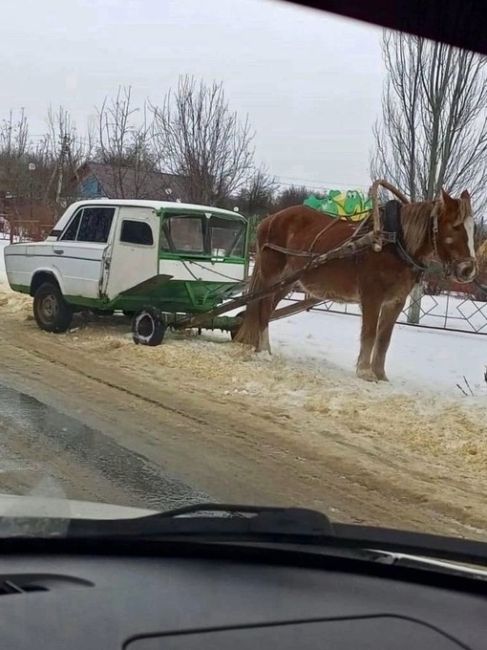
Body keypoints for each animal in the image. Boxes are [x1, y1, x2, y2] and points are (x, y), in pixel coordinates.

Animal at [235, 187, 476, 380]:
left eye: (472, 229)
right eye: (455, 227)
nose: (469, 270)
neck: (394, 241)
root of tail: (269, 220)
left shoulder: (395, 302)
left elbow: (384, 338)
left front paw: (380, 374)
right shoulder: (371, 297)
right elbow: (369, 333)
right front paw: (365, 371)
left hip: (286, 282)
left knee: (267, 308)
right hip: (272, 276)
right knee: (263, 309)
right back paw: (264, 350)